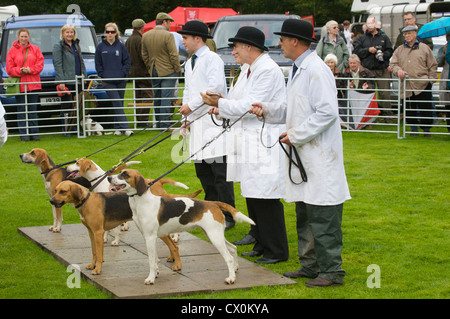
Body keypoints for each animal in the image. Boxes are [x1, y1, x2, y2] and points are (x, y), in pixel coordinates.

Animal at [49, 181, 181, 276]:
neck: (87, 200)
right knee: (172, 245)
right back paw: (172, 259)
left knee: (174, 246)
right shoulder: (91, 232)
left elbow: (100, 254)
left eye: (63, 191)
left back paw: (178, 265)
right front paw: (92, 265)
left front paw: (97, 269)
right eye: (55, 190)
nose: (51, 201)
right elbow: (94, 252)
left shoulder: (98, 232)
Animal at [108, 170, 256, 284]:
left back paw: (231, 278)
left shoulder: (150, 237)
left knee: (228, 258)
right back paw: (235, 269)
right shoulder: (149, 237)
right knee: (233, 248)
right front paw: (155, 274)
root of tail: (213, 203)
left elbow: (151, 261)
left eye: (124, 174)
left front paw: (150, 279)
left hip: (214, 237)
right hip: (213, 234)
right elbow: (154, 259)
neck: (141, 201)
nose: (109, 177)